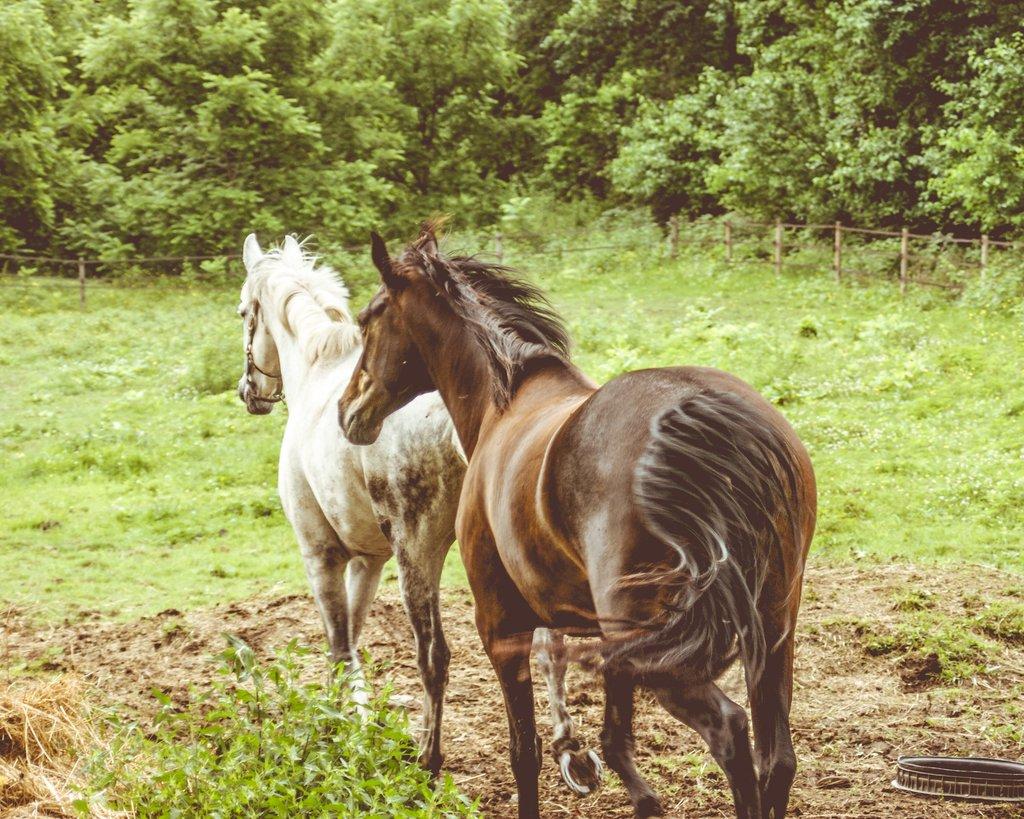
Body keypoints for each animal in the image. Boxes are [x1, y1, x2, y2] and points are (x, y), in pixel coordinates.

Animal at [235, 233, 602, 791]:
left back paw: (428, 756)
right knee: (550, 644)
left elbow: (340, 644)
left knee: (435, 655)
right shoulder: (368, 559)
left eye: (243, 314)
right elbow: (353, 637)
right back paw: (570, 750)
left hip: (418, 555)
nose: (249, 393)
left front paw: (342, 725)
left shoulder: (321, 554)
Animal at [338, 223, 817, 819]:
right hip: (770, 632)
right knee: (778, 759)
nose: (347, 411)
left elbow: (525, 751)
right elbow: (615, 740)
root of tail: (713, 421)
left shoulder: (500, 628)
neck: (506, 402)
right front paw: (633, 791)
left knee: (730, 731)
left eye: (367, 319)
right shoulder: (609, 643)